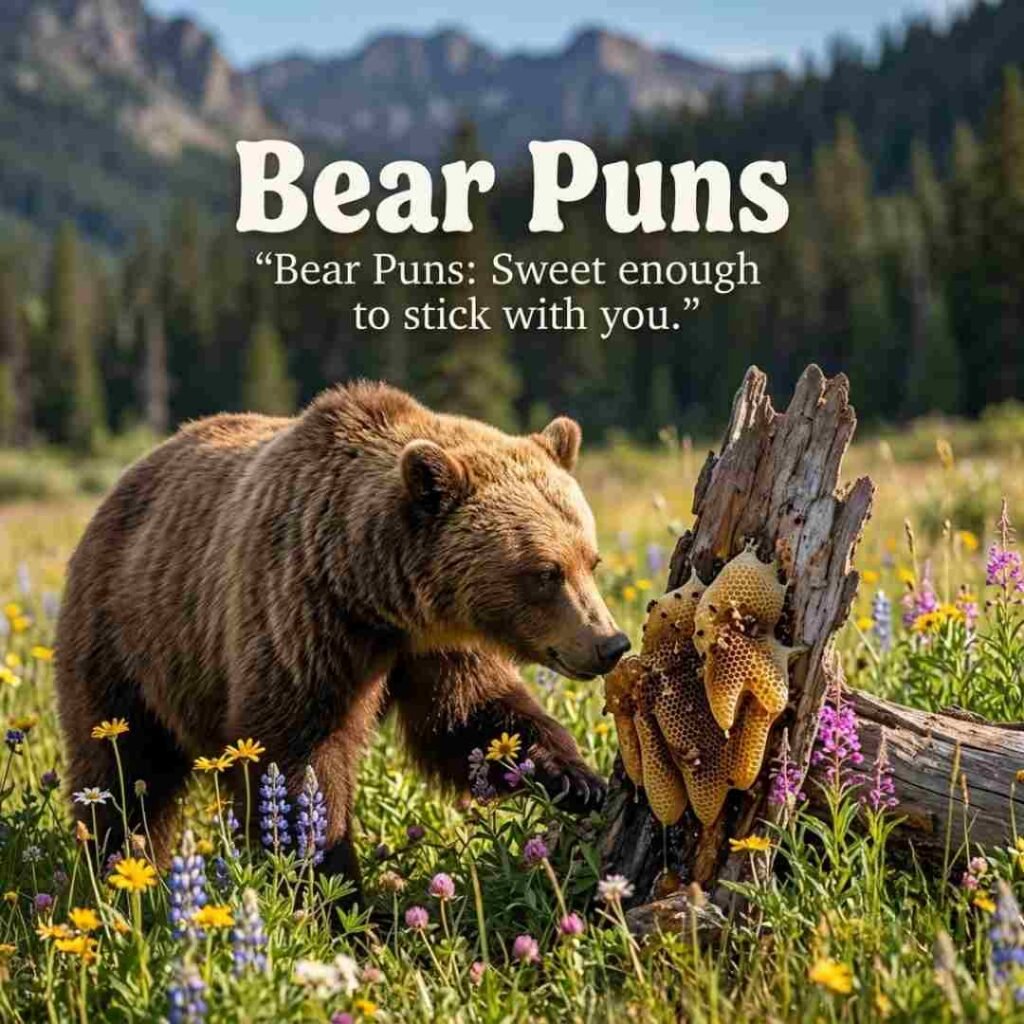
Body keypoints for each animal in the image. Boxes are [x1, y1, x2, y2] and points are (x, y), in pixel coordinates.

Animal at [55, 381, 630, 900]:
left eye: (591, 560)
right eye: (545, 573)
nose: (610, 643)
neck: (374, 593)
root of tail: (131, 473)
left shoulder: (435, 645)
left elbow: (469, 714)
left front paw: (577, 778)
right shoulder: (302, 618)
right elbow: (299, 755)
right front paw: (337, 891)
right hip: (126, 635)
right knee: (122, 768)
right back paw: (117, 871)